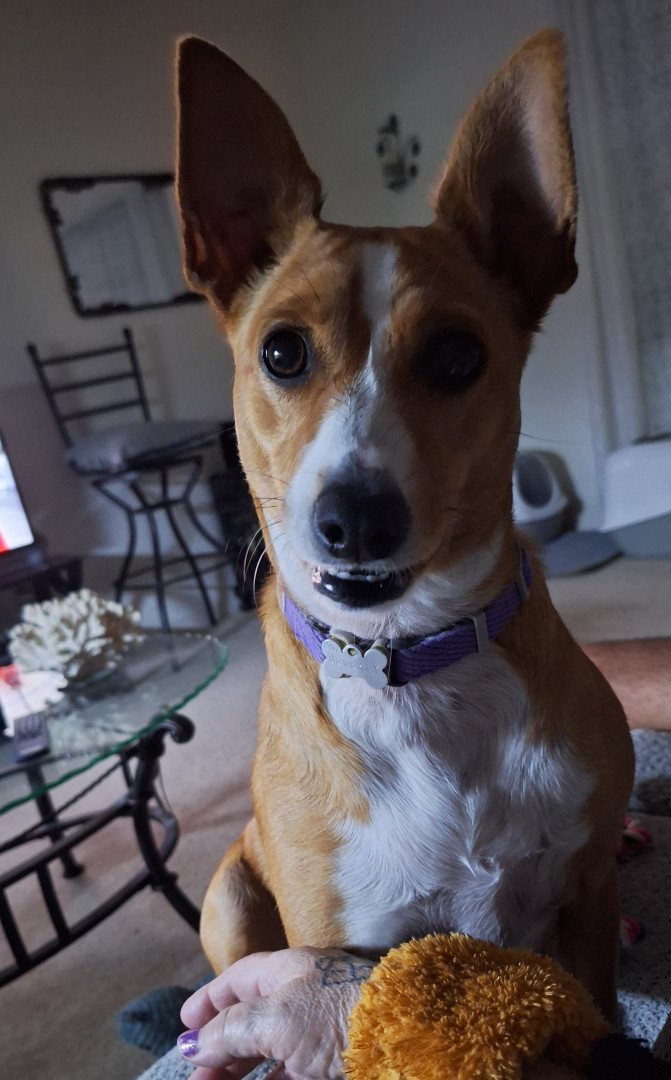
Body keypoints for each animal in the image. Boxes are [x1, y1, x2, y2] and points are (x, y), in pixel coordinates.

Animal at [176, 29, 634, 1023]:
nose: (353, 518)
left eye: (458, 356)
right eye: (281, 351)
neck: (410, 663)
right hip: (229, 894)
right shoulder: (343, 952)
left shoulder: (587, 887)